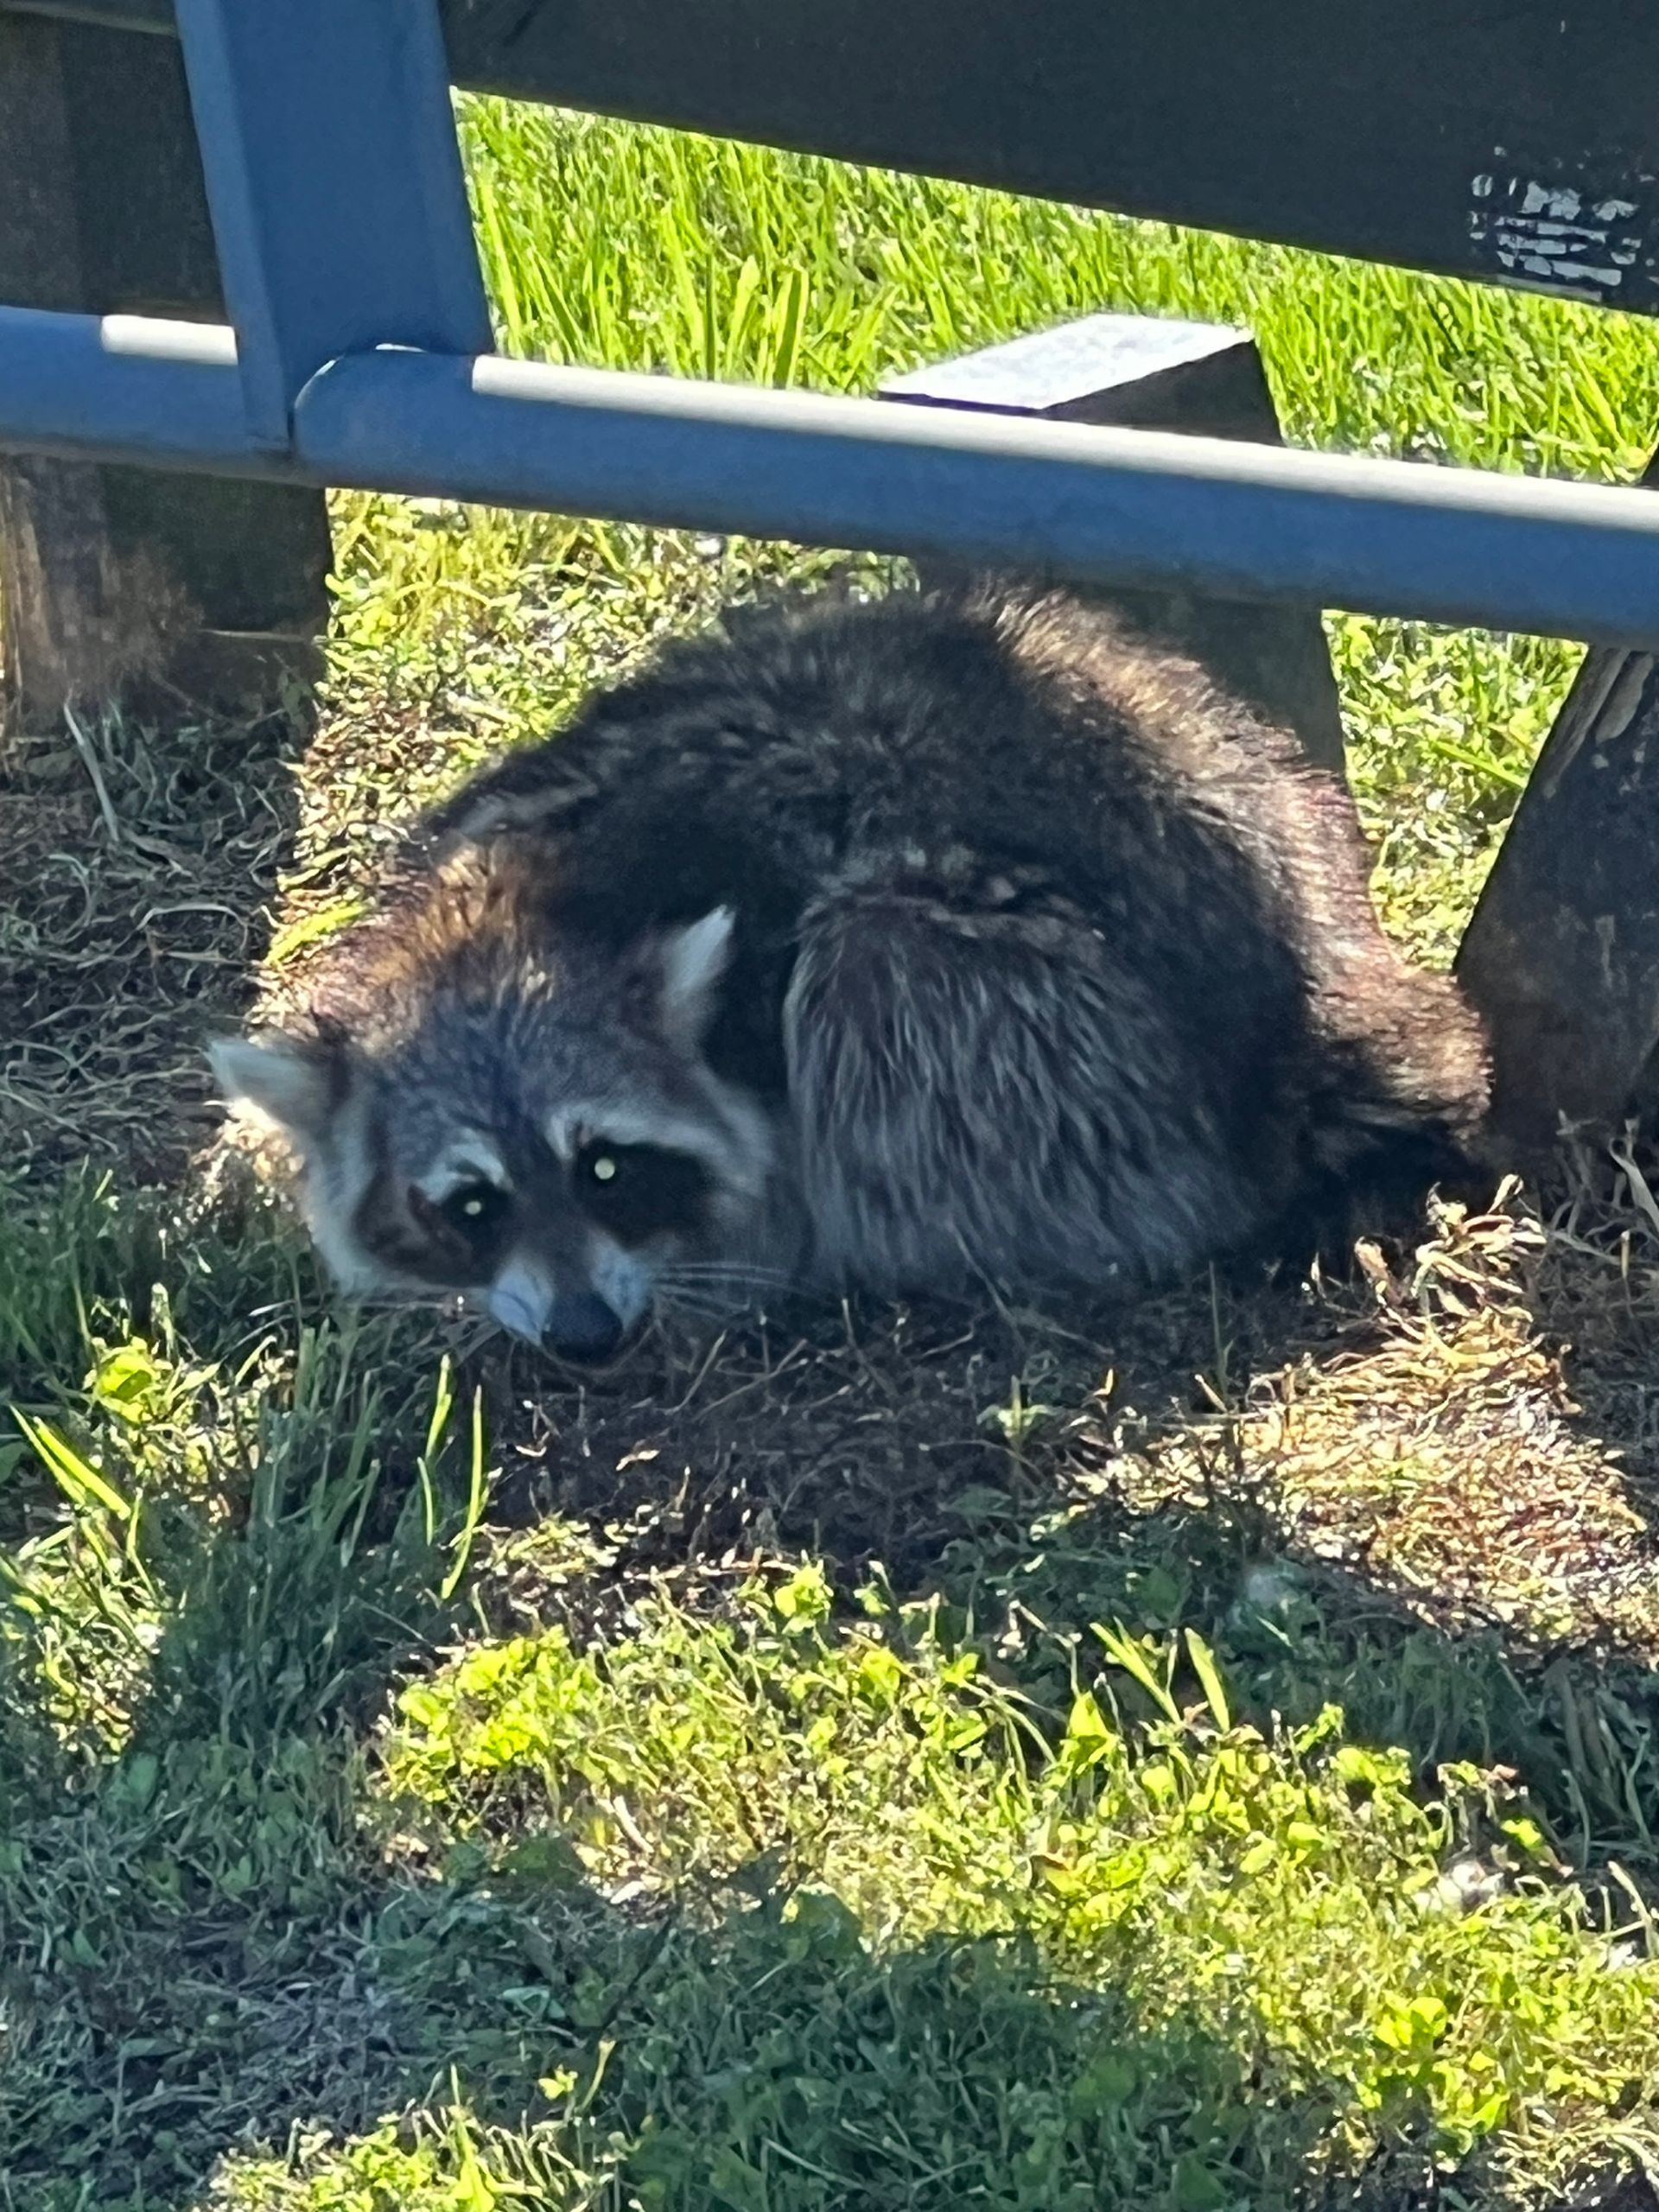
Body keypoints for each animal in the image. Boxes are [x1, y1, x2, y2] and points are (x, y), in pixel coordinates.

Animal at [211, 581, 1490, 1359]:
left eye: (609, 1166)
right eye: (470, 1202)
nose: (586, 1336)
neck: (522, 909)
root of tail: (1309, 1004)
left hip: (1063, 1029)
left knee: (876, 967)